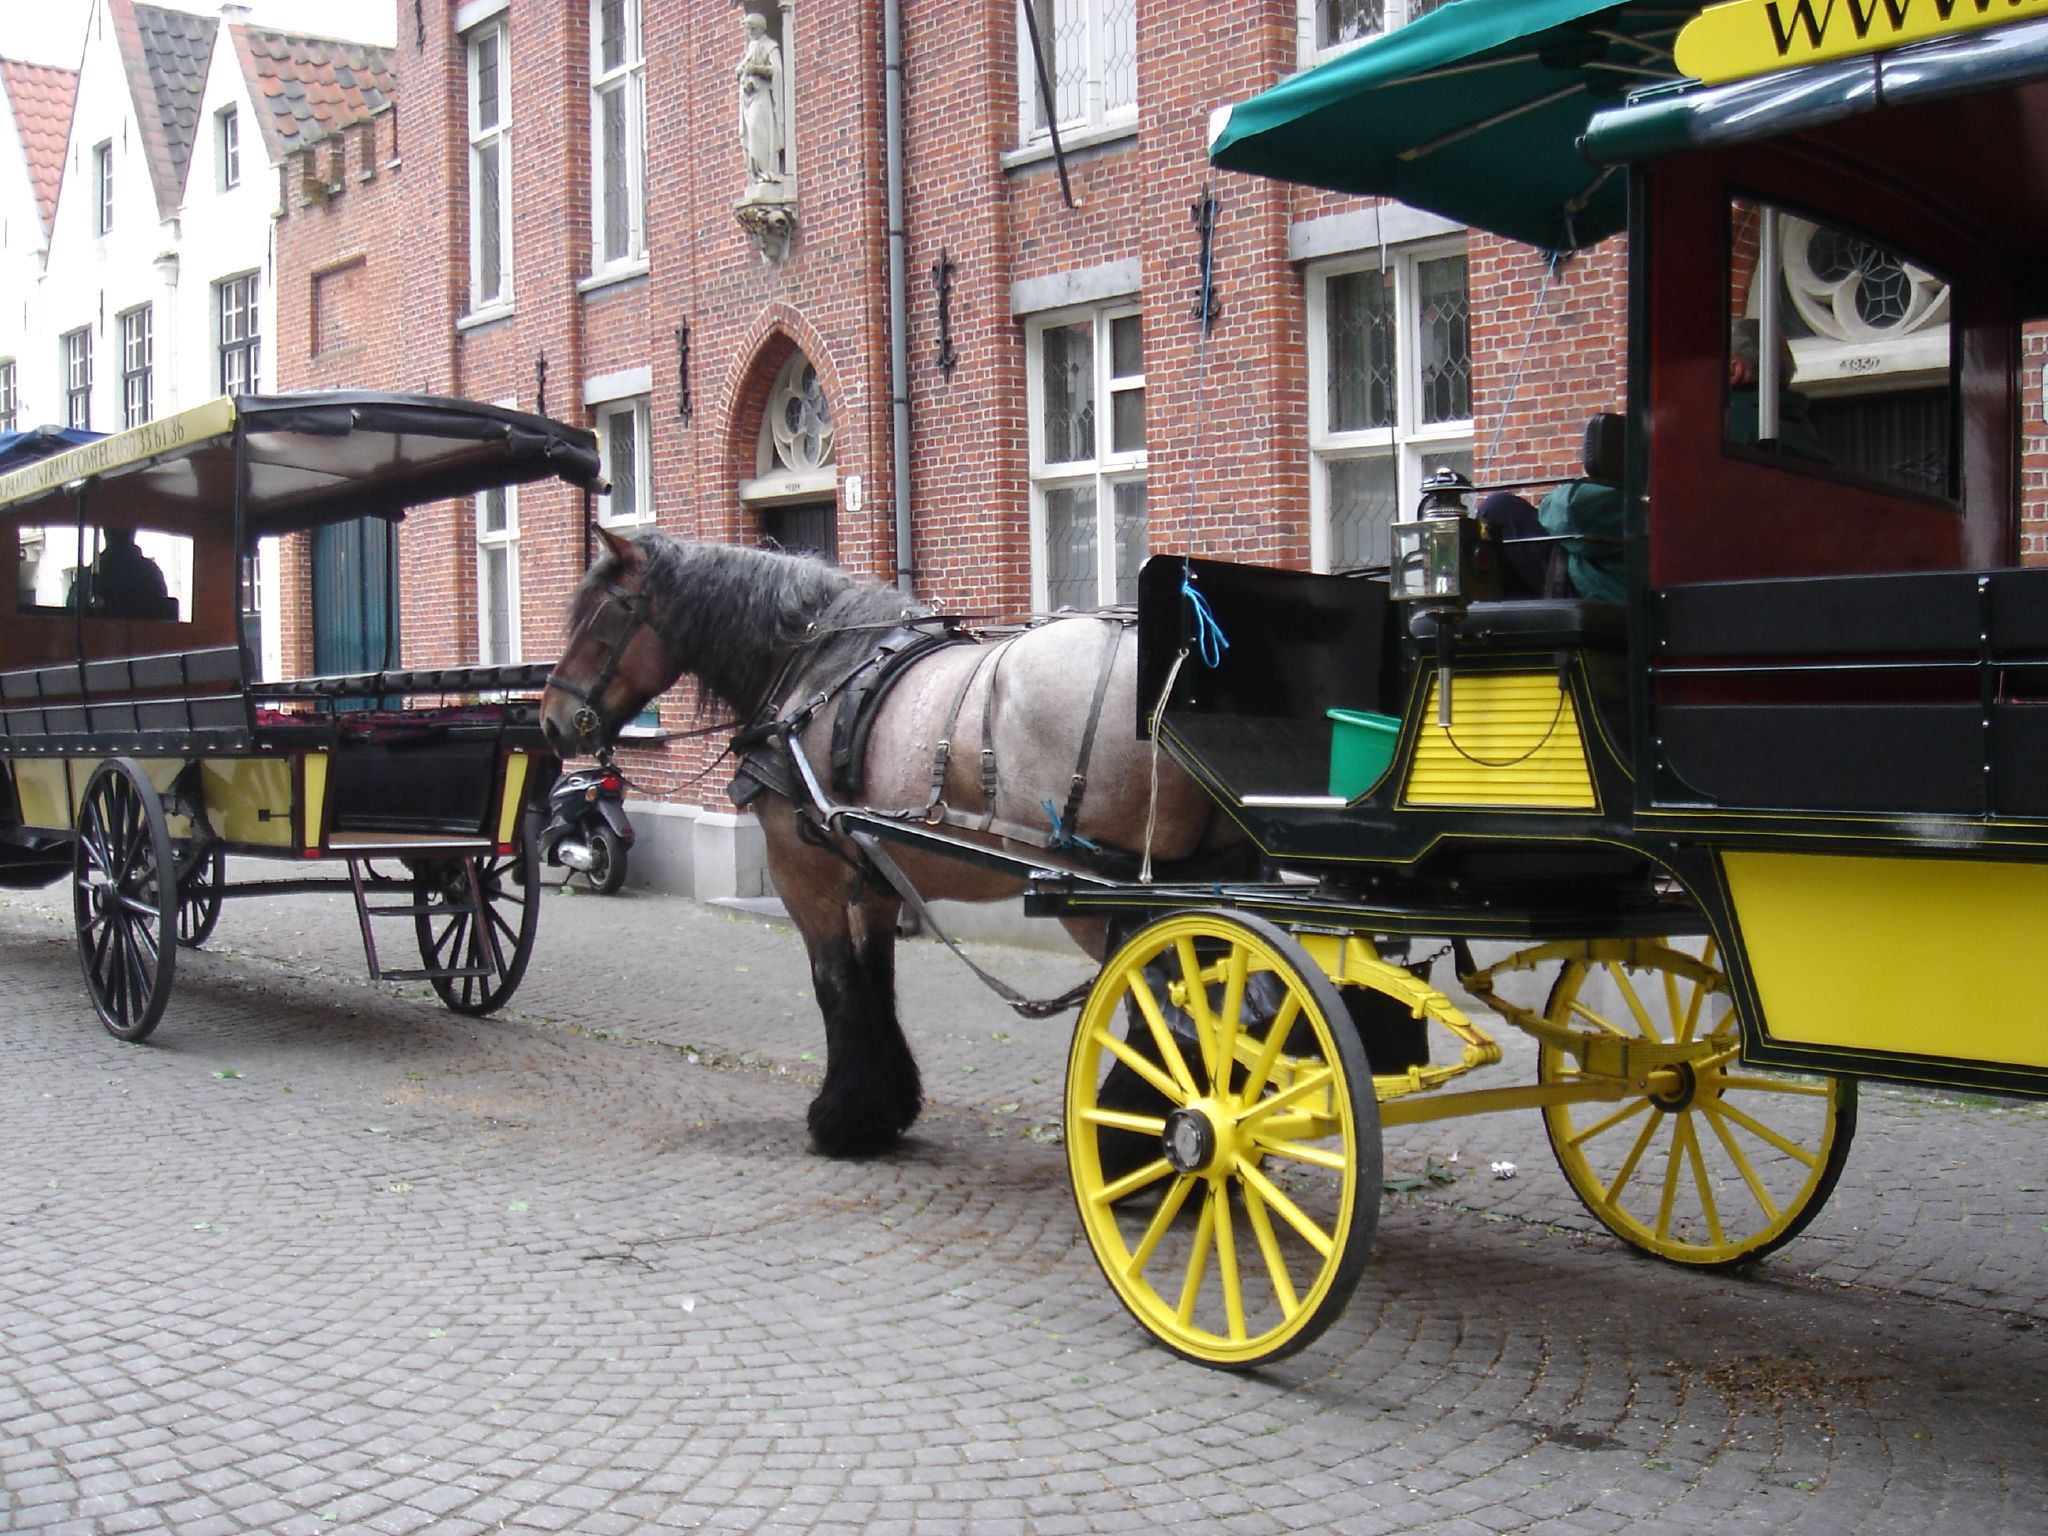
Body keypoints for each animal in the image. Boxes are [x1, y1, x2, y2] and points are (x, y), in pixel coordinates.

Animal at [536, 536, 1236, 1163]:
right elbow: (876, 980)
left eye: (604, 615)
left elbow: (833, 984)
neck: (814, 670)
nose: (551, 718)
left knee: (1162, 1019)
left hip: (1103, 899)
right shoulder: (872, 874)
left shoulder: (803, 874)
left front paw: (840, 1120)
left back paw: (1128, 1146)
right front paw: (883, 1110)